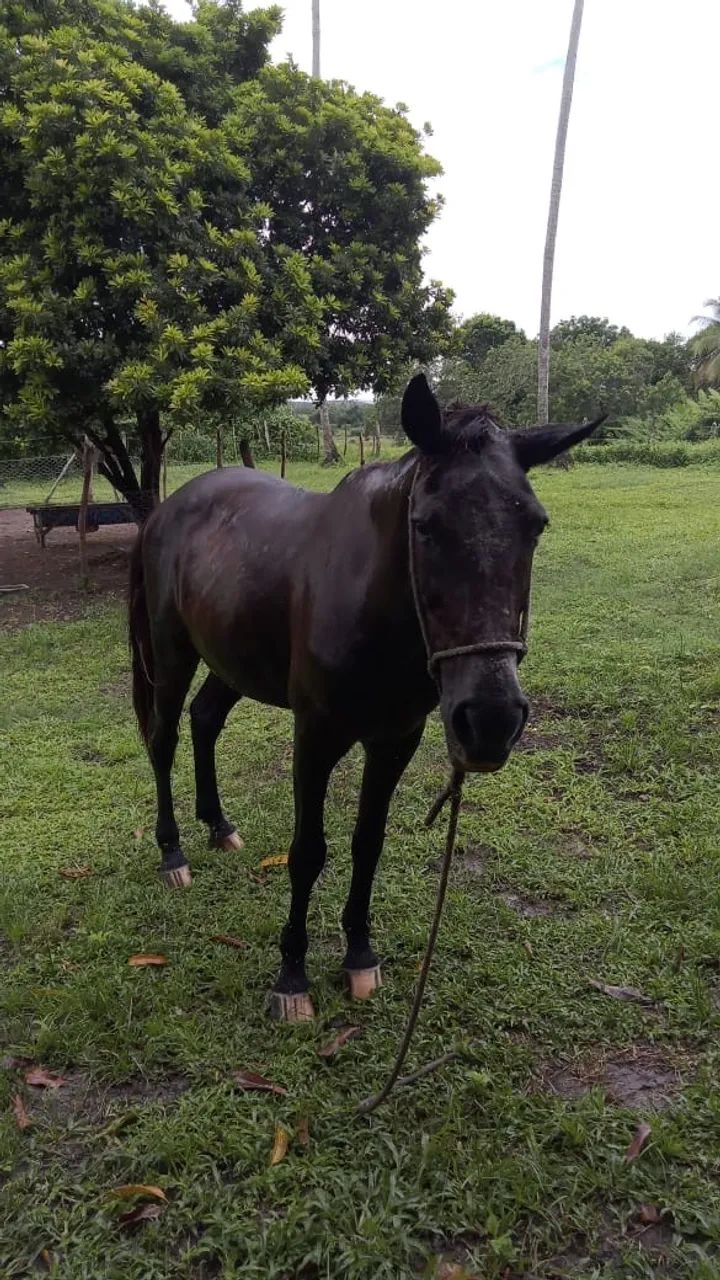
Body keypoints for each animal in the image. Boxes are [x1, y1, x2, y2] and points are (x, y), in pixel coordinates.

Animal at [128, 373, 602, 1020]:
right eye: (424, 525)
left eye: (536, 525)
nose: (490, 720)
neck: (372, 609)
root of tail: (167, 508)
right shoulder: (316, 737)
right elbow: (308, 852)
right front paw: (292, 976)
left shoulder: (395, 739)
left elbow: (367, 844)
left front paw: (358, 954)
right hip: (172, 650)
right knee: (164, 736)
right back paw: (173, 853)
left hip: (230, 658)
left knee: (205, 720)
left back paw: (219, 826)